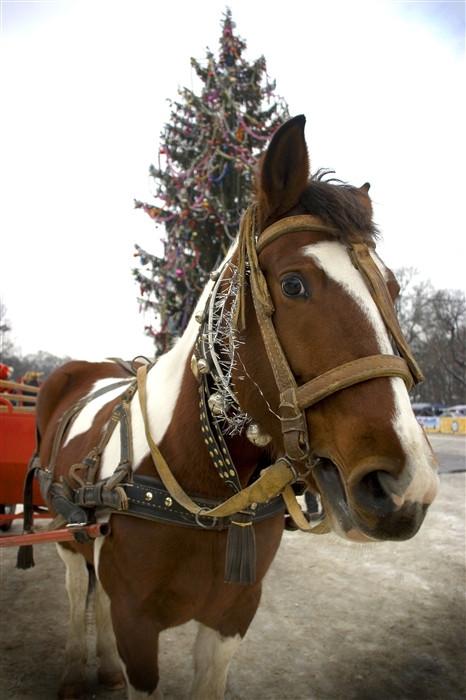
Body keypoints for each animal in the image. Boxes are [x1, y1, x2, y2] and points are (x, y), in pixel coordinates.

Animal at [20, 116, 436, 700]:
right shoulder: (136, 624)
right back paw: (77, 670)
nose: (406, 485)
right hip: (66, 533)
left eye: (394, 290)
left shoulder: (233, 615)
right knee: (79, 585)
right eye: (293, 284)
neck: (202, 492)